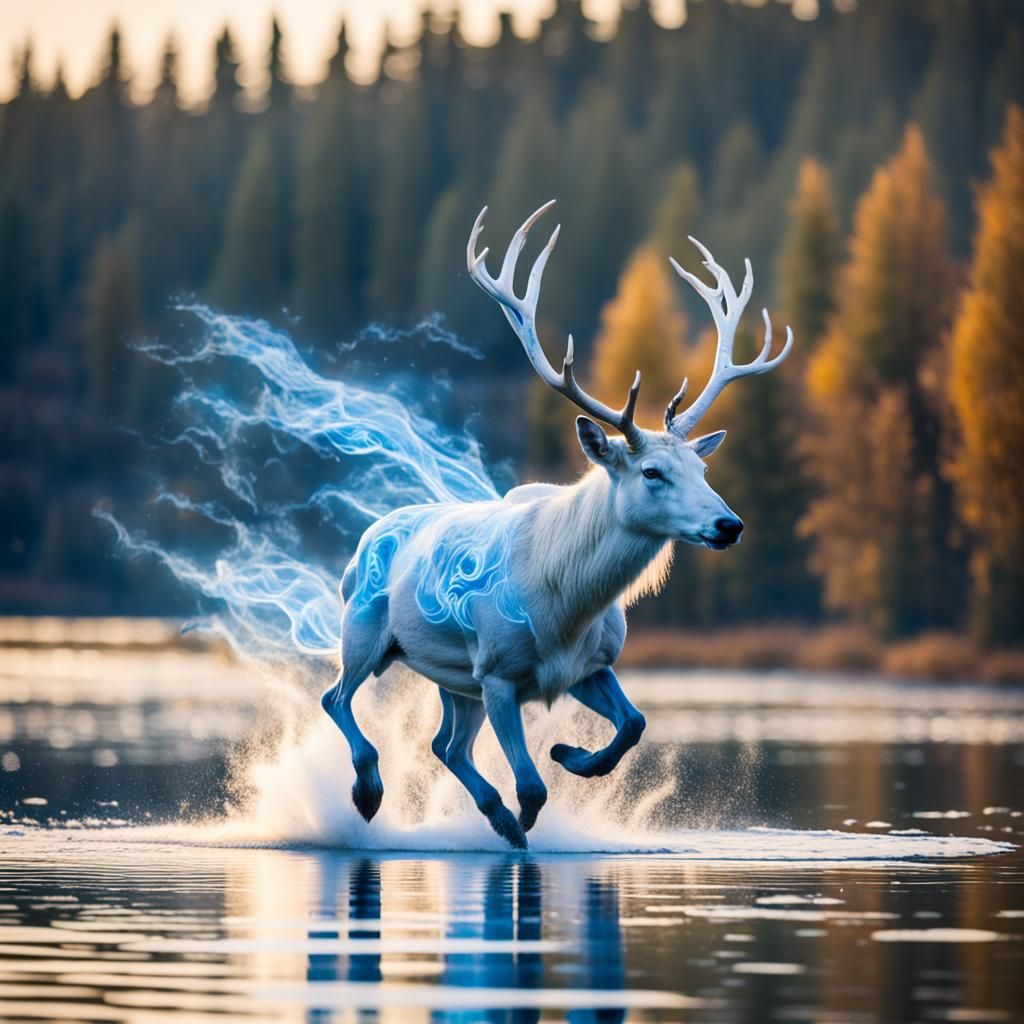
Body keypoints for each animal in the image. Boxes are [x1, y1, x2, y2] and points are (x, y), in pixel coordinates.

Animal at [321, 200, 793, 849]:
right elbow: (532, 788)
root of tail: (367, 535)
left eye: (701, 466)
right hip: (365, 631)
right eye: (652, 471)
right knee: (336, 698)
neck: (568, 606)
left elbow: (635, 723)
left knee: (445, 744)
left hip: (453, 678)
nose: (729, 525)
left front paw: (571, 756)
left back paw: (480, 805)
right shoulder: (498, 673)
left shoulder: (588, 667)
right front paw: (521, 822)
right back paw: (369, 791)